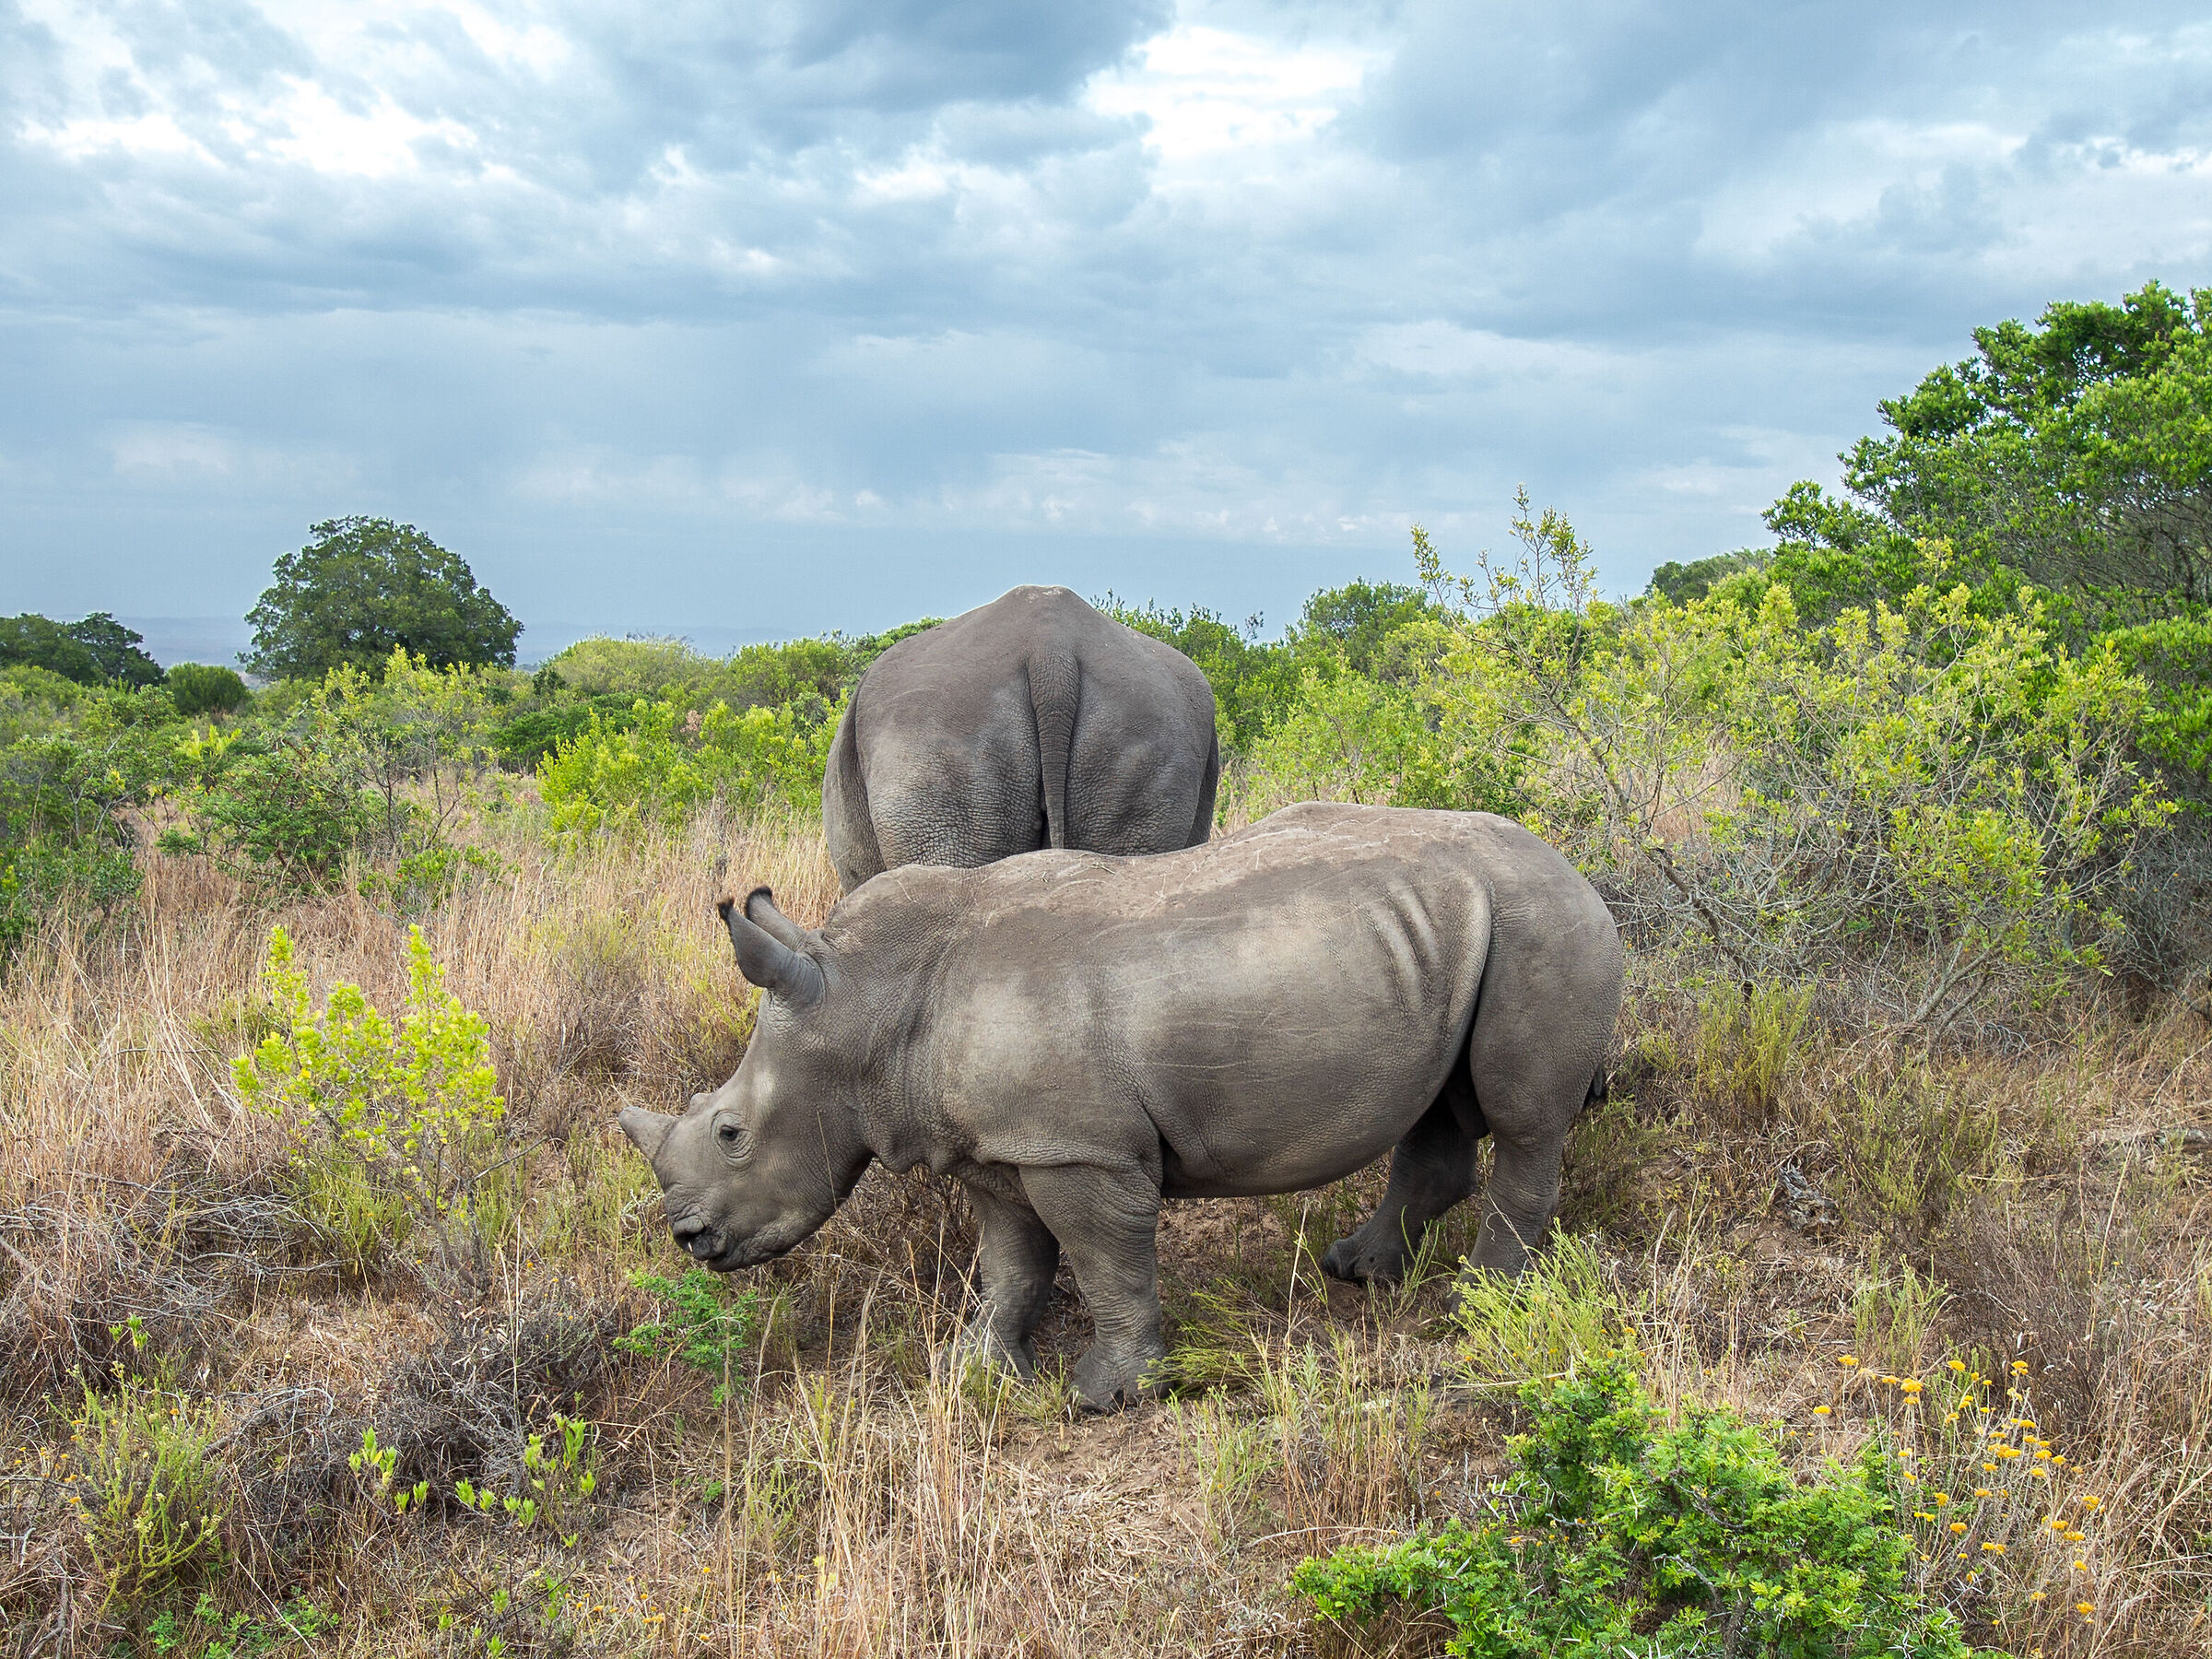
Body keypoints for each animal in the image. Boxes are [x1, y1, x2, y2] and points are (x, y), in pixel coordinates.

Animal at [620, 802, 1624, 1411]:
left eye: (732, 1132)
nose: (689, 1239)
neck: (868, 999)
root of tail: (1575, 867)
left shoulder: (1078, 1148)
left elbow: (1105, 1258)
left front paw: (1106, 1394)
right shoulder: (1005, 1145)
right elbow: (1012, 1262)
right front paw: (975, 1371)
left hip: (1541, 922)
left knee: (1525, 1121)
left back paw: (1482, 1305)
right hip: (1456, 934)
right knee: (1440, 1108)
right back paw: (1360, 1273)